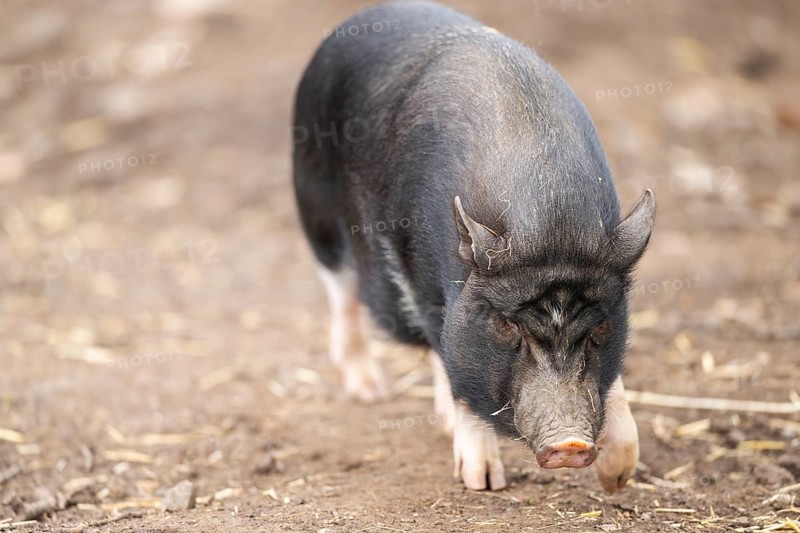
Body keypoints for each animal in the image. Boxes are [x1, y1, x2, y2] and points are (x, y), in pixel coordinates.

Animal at [292, 0, 654, 493]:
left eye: (600, 326)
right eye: (507, 325)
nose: (570, 444)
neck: (552, 224)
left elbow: (612, 379)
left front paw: (618, 478)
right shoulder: (424, 280)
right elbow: (459, 367)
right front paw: (483, 482)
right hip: (317, 210)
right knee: (344, 296)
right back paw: (370, 391)